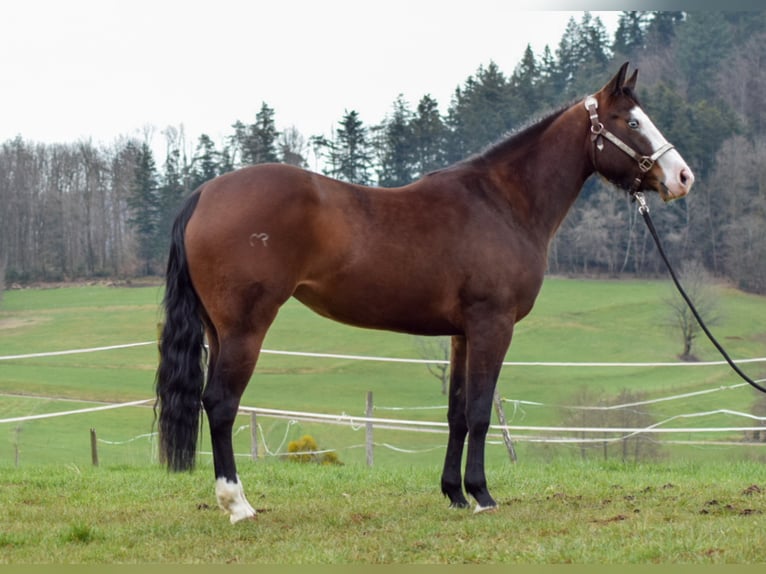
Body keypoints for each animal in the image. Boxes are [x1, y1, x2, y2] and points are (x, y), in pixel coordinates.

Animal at [156, 62, 696, 520]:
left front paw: (454, 493)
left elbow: (456, 413)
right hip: (246, 329)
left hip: (219, 330)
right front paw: (482, 495)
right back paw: (238, 504)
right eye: (631, 121)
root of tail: (203, 193)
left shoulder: (461, 334)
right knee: (220, 403)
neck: (502, 203)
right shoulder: (492, 325)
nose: (682, 177)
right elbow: (480, 412)